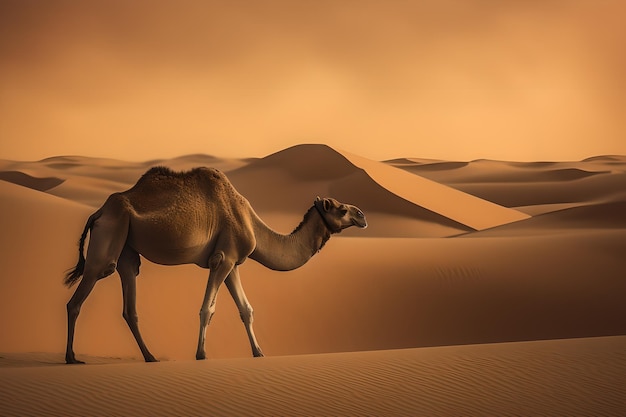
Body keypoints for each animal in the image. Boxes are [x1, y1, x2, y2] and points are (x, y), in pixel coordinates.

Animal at [63, 164, 366, 362]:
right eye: (341, 209)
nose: (362, 215)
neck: (251, 223)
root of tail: (98, 212)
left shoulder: (233, 263)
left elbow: (246, 309)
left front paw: (259, 353)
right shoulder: (223, 259)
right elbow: (207, 309)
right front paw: (201, 354)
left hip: (126, 245)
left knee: (129, 302)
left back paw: (150, 357)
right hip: (111, 233)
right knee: (80, 296)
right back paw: (71, 358)